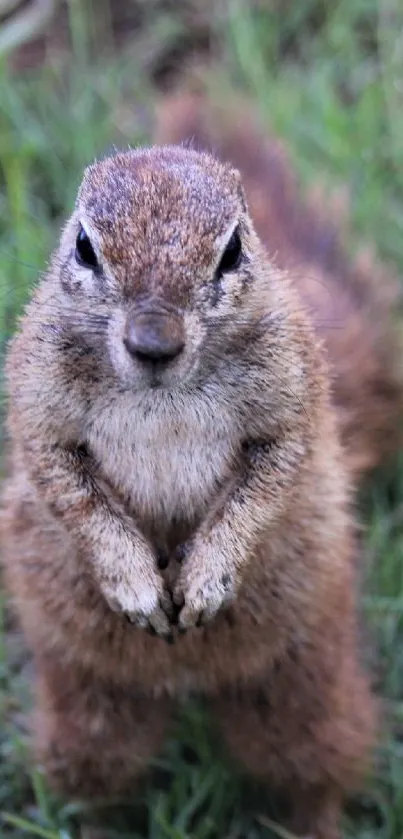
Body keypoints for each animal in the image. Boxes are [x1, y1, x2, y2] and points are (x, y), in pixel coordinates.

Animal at [0, 92, 403, 839]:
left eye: (233, 249)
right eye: (84, 246)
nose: (153, 342)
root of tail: (187, 681)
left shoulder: (291, 394)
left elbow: (270, 479)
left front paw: (209, 576)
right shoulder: (36, 400)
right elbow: (66, 486)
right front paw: (133, 582)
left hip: (302, 686)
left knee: (314, 769)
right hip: (90, 713)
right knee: (98, 781)